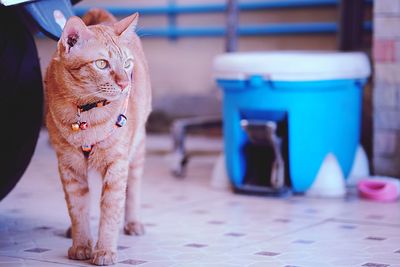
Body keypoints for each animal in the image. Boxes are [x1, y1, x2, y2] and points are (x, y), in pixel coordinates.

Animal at [44, 9, 152, 266]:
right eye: (102, 64)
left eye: (127, 64)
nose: (125, 83)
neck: (86, 112)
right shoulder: (69, 166)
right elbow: (78, 208)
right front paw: (82, 245)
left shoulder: (117, 165)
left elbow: (111, 209)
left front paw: (104, 251)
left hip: (137, 148)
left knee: (133, 188)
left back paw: (133, 223)